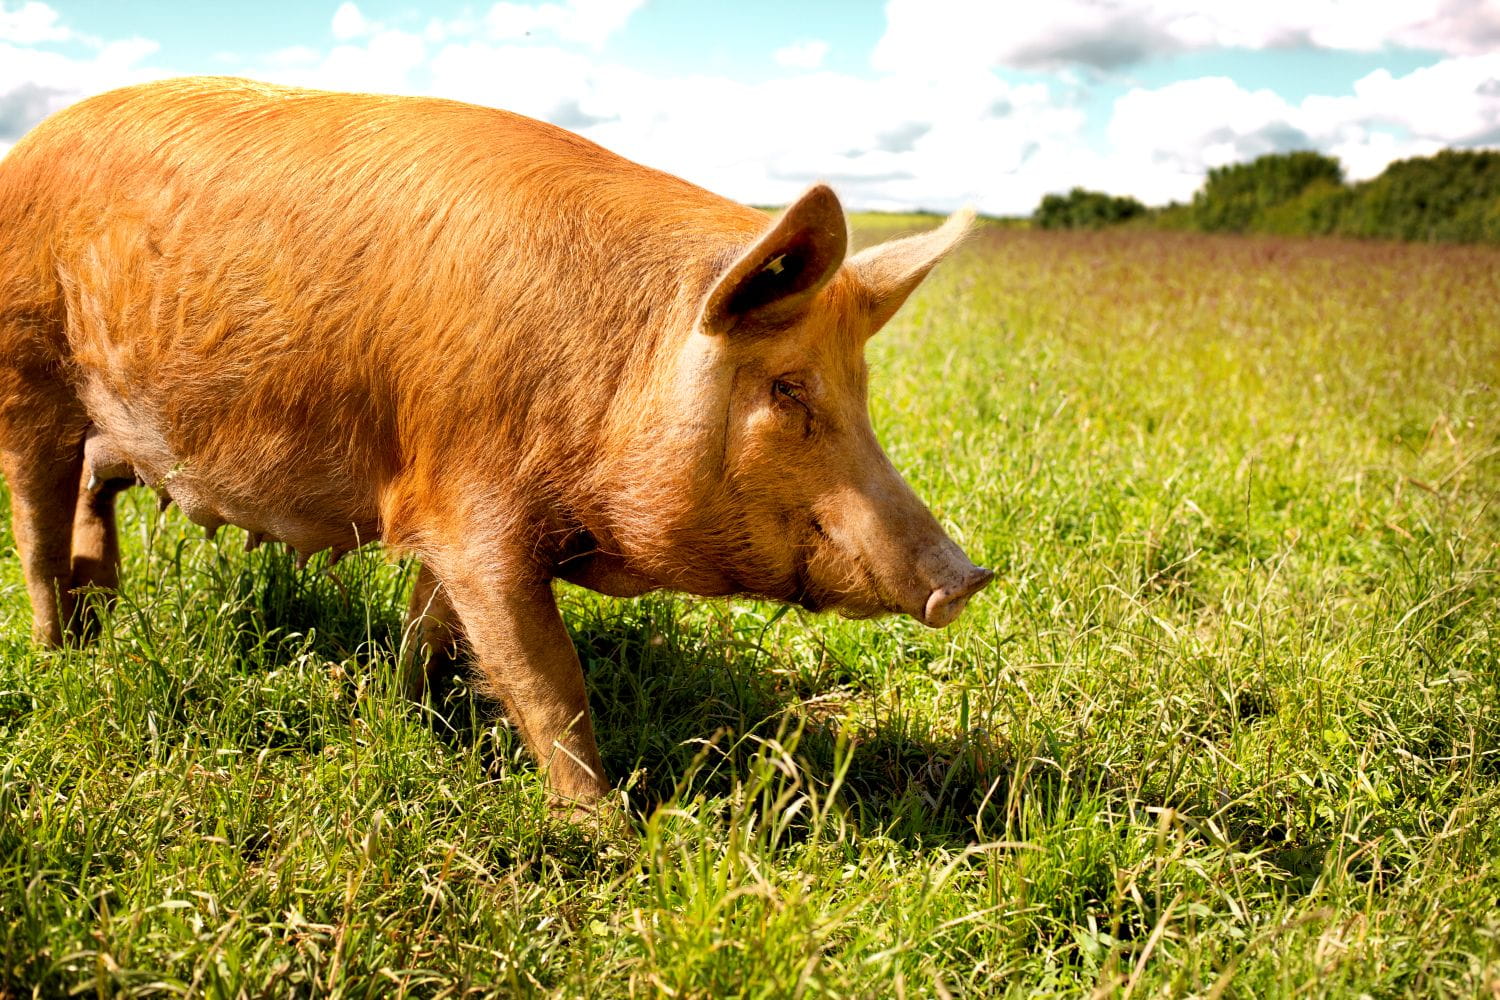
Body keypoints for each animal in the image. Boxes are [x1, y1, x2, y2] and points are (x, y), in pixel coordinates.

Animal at [0, 77, 993, 810]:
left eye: (862, 390)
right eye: (787, 388)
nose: (968, 578)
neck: (616, 368)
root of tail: (25, 147)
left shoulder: (444, 508)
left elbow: (433, 630)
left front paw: (402, 716)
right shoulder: (474, 509)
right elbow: (549, 679)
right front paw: (608, 833)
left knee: (93, 493)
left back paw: (99, 619)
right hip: (27, 367)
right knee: (37, 527)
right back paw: (61, 657)